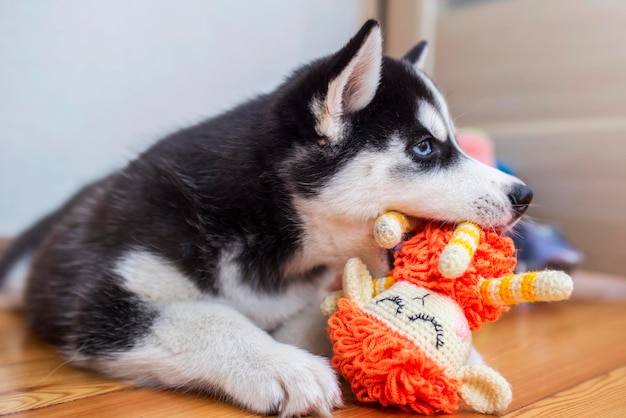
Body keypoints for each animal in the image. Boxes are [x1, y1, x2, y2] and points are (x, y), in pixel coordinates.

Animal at [1, 21, 532, 416]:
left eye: (454, 143)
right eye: (424, 148)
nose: (524, 194)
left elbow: (329, 312)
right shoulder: (101, 305)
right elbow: (208, 316)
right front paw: (281, 365)